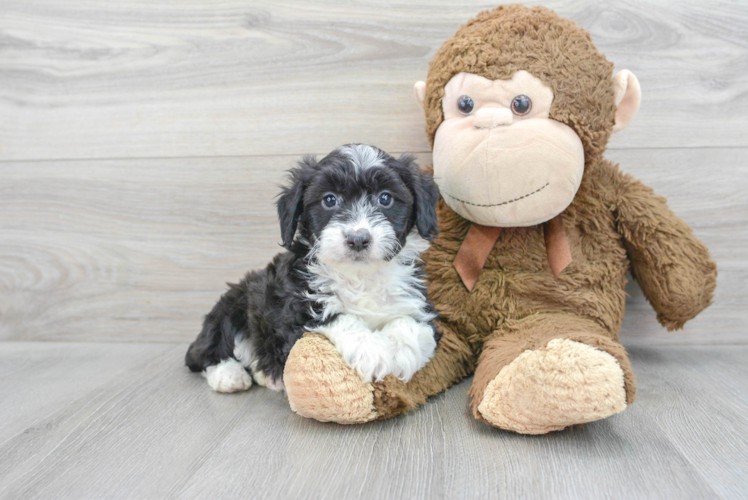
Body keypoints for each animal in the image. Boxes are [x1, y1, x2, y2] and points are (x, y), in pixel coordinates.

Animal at [186, 145, 442, 394]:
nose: (358, 239)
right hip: (234, 303)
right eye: (329, 200)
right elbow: (339, 318)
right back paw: (229, 375)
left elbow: (411, 324)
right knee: (208, 350)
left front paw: (400, 353)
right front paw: (373, 353)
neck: (359, 276)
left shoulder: (420, 305)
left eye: (385, 198)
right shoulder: (296, 311)